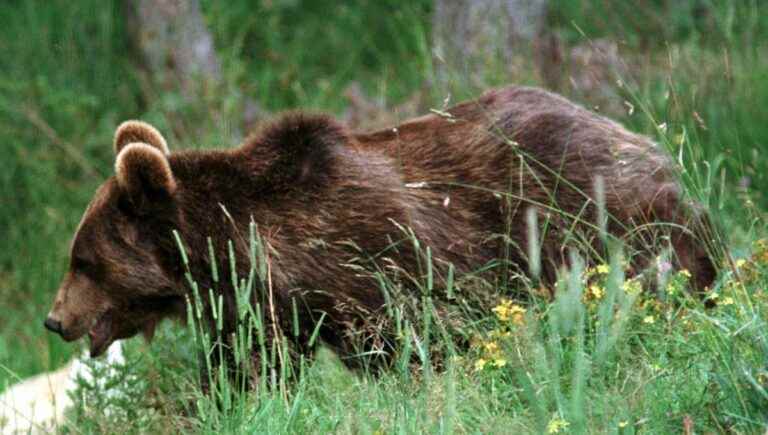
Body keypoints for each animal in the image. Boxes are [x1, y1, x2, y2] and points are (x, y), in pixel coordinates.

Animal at [45, 87, 716, 372]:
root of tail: (639, 138)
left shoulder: (376, 260)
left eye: (82, 260)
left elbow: (414, 342)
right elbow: (251, 368)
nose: (55, 320)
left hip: (587, 213)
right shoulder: (264, 311)